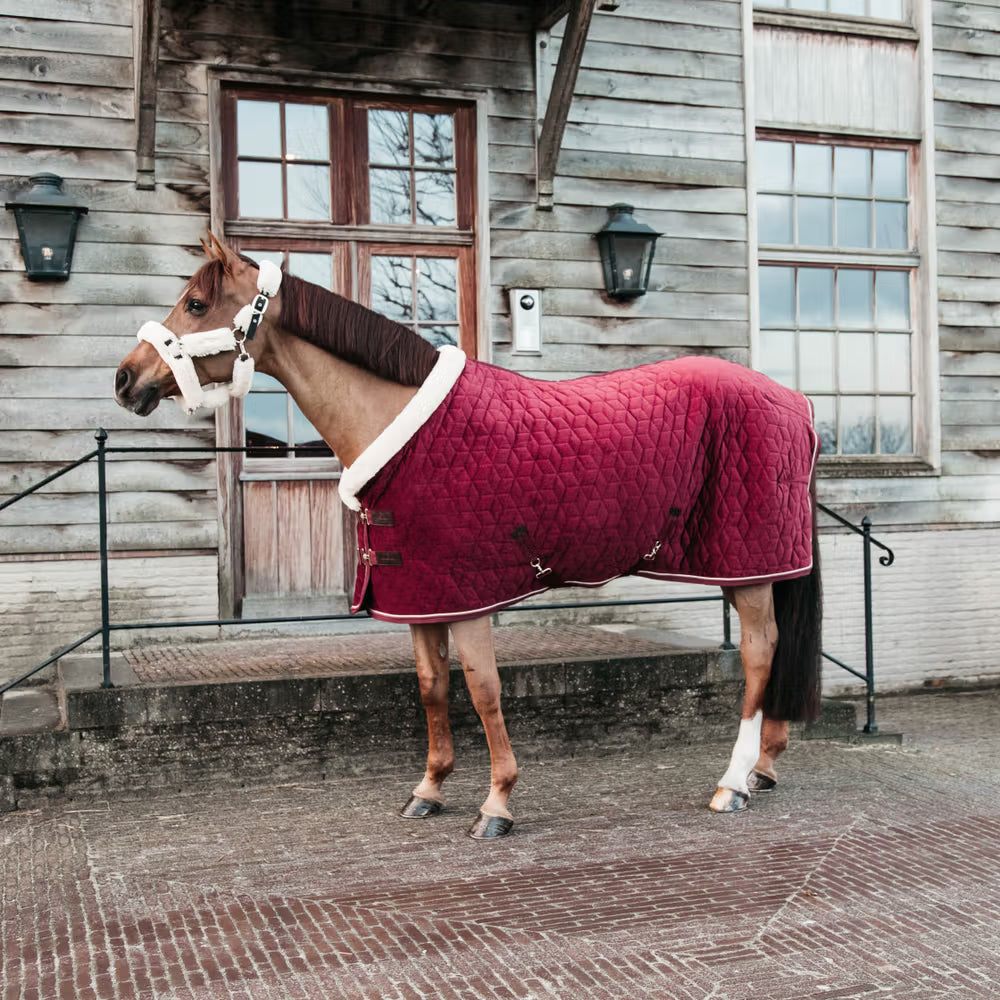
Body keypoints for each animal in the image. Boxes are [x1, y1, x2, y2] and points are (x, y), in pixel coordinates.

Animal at [114, 235, 822, 839]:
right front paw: (428, 789)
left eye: (195, 303)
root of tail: (796, 402)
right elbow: (432, 687)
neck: (400, 424)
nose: (124, 379)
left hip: (749, 569)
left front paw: (497, 803)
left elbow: (483, 689)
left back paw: (732, 783)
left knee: (759, 654)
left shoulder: (468, 596)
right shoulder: (421, 594)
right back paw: (763, 769)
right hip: (746, 568)